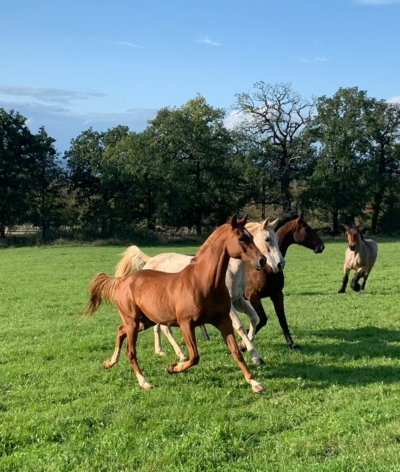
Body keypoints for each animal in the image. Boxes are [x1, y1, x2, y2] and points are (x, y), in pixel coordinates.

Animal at [87, 216, 268, 392]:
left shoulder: (222, 321)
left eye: (251, 237)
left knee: (120, 330)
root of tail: (122, 281)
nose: (262, 260)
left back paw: (109, 362)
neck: (202, 282)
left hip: (145, 321)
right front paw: (172, 367)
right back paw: (144, 382)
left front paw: (254, 383)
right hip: (133, 322)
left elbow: (236, 351)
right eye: (240, 238)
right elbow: (194, 357)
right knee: (130, 351)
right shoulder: (185, 324)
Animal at [244, 212, 324, 348]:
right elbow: (263, 319)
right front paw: (245, 340)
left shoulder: (277, 295)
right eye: (306, 228)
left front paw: (291, 343)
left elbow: (282, 320)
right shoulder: (253, 296)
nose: (321, 246)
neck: (268, 268)